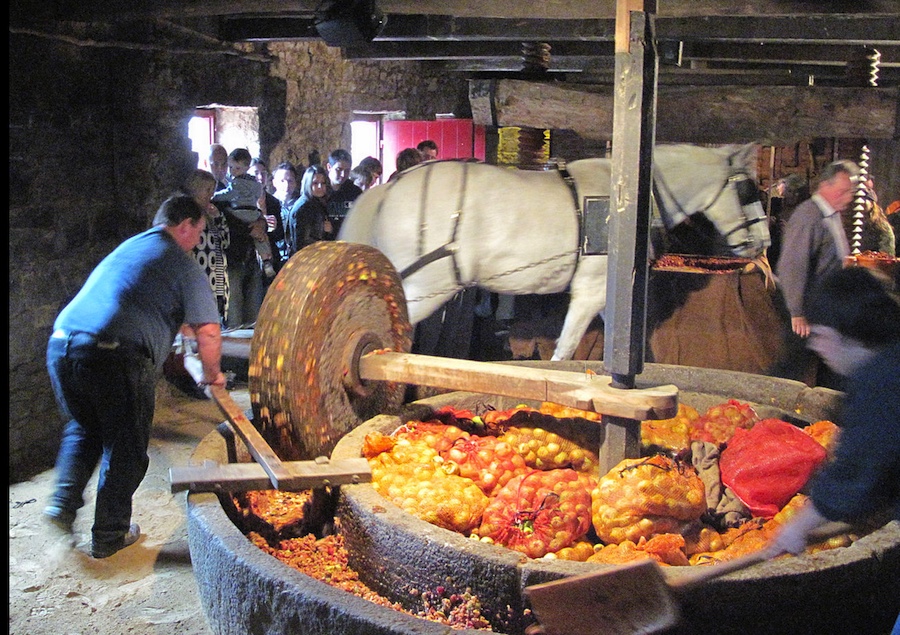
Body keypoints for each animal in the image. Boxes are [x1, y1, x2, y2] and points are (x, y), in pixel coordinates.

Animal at [338, 145, 768, 362]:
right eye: (749, 189)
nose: (763, 243)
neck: (625, 199)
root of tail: (390, 188)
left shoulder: (607, 295)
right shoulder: (590, 291)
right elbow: (564, 351)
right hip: (426, 287)